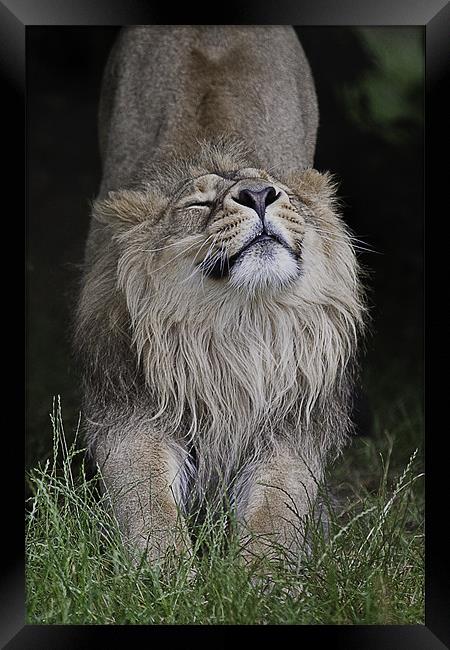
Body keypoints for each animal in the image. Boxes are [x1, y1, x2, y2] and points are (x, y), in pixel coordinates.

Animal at [74, 26, 366, 560]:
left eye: (279, 191)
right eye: (198, 203)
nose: (258, 195)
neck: (238, 322)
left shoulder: (293, 424)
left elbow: (276, 511)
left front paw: (260, 574)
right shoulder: (129, 412)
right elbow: (147, 506)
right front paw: (167, 571)